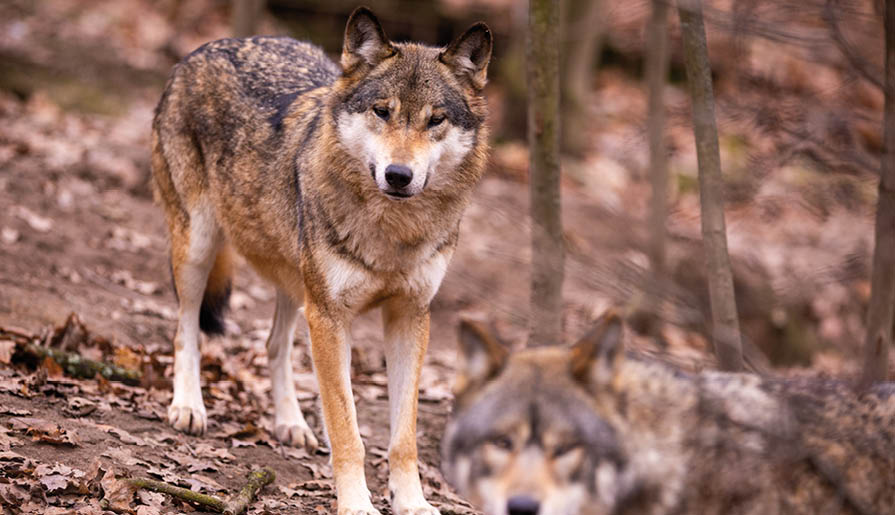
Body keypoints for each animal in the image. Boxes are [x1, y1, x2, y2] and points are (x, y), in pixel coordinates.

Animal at [151, 7, 491, 514]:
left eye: (436, 120)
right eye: (382, 111)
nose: (398, 174)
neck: (394, 232)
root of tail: (203, 48)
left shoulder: (410, 317)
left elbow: (404, 437)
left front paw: (412, 502)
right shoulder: (330, 318)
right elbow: (347, 429)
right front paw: (356, 504)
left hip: (297, 283)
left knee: (273, 345)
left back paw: (291, 424)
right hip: (199, 246)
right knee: (185, 328)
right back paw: (188, 406)